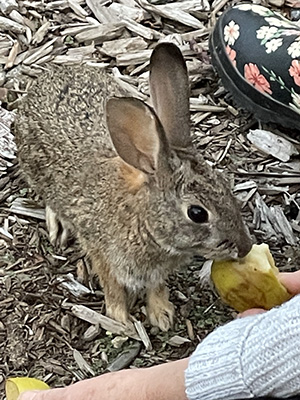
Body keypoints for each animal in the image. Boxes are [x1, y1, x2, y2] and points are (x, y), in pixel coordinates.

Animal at [14, 43, 253, 332]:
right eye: (197, 213)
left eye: (225, 186)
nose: (245, 247)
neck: (144, 221)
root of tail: (43, 81)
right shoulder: (102, 253)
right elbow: (112, 286)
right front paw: (120, 318)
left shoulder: (156, 271)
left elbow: (156, 286)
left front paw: (162, 314)